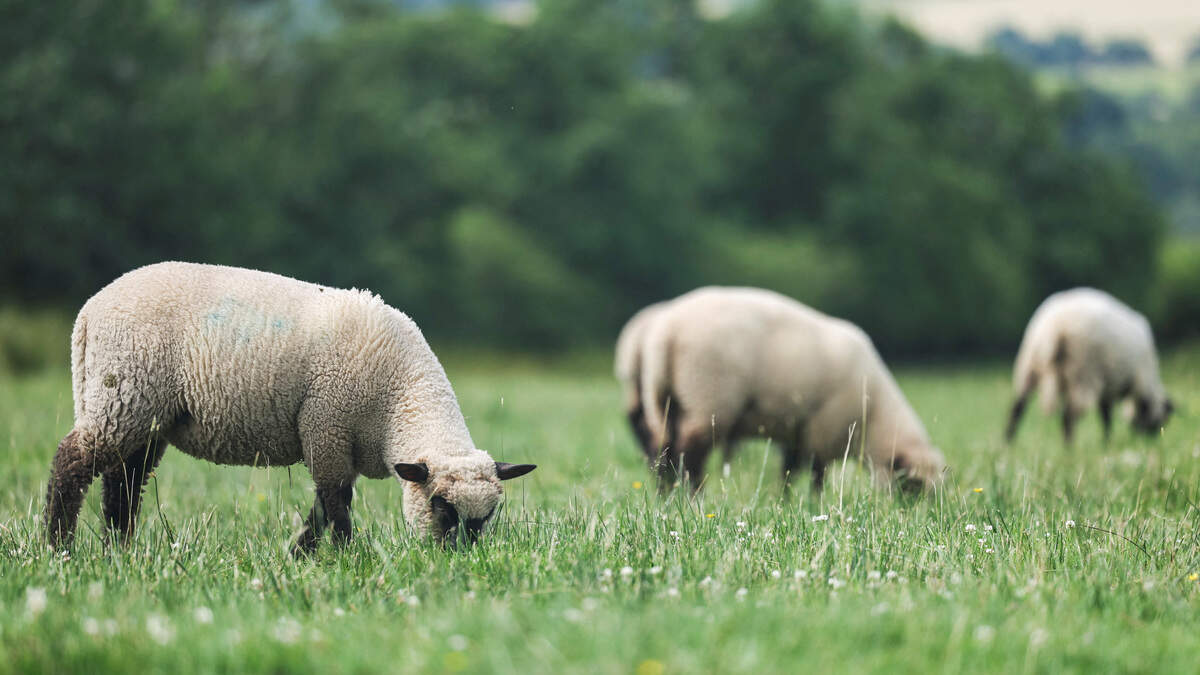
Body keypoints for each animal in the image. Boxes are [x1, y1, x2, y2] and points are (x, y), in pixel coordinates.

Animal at [43, 262, 536, 553]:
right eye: (440, 505)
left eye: (488, 516)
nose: (459, 560)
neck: (402, 401)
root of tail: (89, 312)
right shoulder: (327, 428)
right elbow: (335, 504)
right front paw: (342, 555)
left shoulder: (337, 442)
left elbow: (322, 506)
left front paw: (300, 553)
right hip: (125, 392)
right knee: (73, 462)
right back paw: (58, 546)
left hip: (145, 413)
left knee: (123, 480)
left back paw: (118, 549)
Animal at [638, 286, 945, 493]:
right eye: (913, 485)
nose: (913, 514)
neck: (875, 416)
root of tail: (667, 331)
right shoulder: (822, 429)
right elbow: (815, 474)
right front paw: (812, 504)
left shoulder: (799, 429)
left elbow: (789, 471)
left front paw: (785, 502)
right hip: (707, 395)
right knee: (689, 456)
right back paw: (693, 497)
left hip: (666, 400)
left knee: (663, 451)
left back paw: (665, 496)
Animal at [1005, 287, 1172, 444]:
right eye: (1160, 421)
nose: (1149, 439)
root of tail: (1056, 328)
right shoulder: (1136, 381)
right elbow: (1107, 416)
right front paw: (1107, 441)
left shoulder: (1107, 387)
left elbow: (1105, 413)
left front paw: (1106, 441)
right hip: (1083, 372)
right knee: (1068, 415)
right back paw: (1069, 448)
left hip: (1029, 364)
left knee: (1017, 408)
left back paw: (1008, 443)